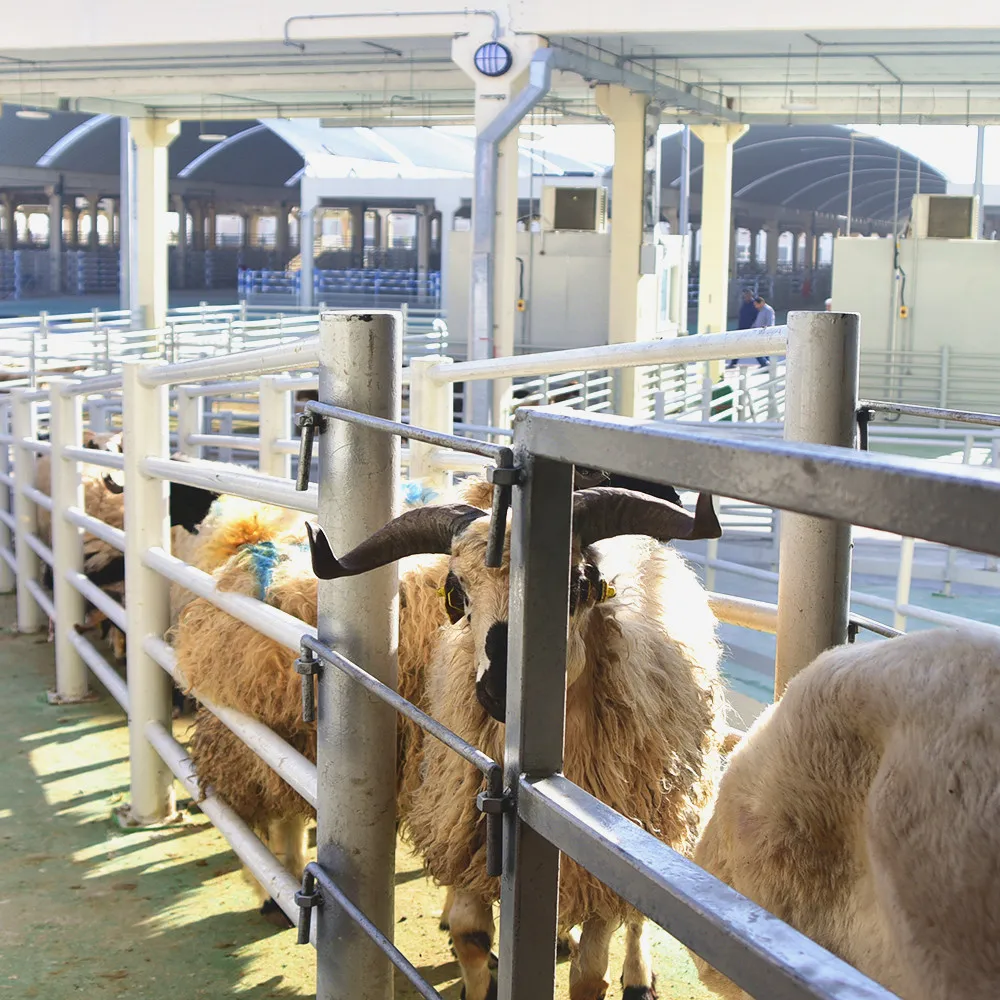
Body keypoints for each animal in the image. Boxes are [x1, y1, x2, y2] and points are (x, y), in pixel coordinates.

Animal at [306, 483, 728, 1000]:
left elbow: (590, 975)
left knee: (637, 916)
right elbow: (471, 934)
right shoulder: (473, 834)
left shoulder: (601, 865)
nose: (501, 690)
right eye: (457, 591)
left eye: (578, 584)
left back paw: (637, 976)